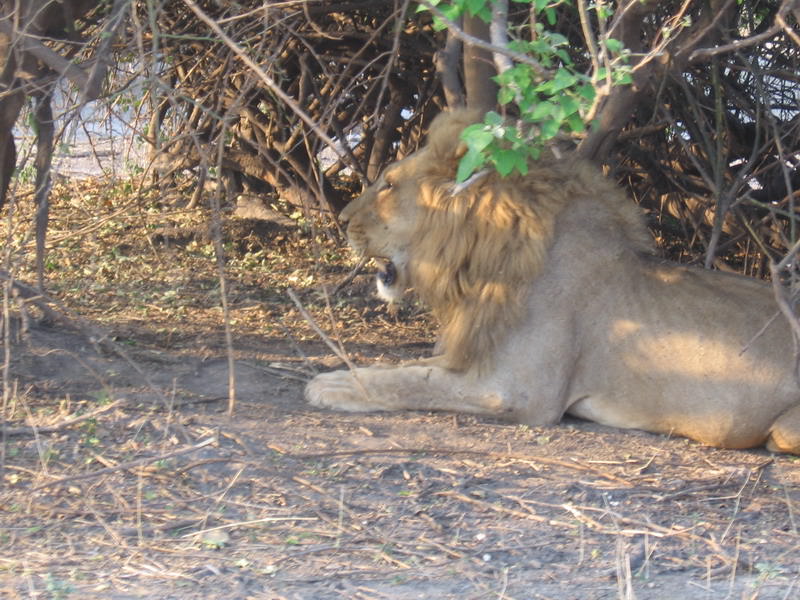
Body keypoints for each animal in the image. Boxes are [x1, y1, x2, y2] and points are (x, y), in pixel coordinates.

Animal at [304, 109, 800, 454]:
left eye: (389, 184)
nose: (341, 219)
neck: (482, 264)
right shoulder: (476, 352)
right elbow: (407, 368)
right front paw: (342, 373)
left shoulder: (517, 391)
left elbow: (415, 382)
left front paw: (332, 387)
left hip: (787, 425)